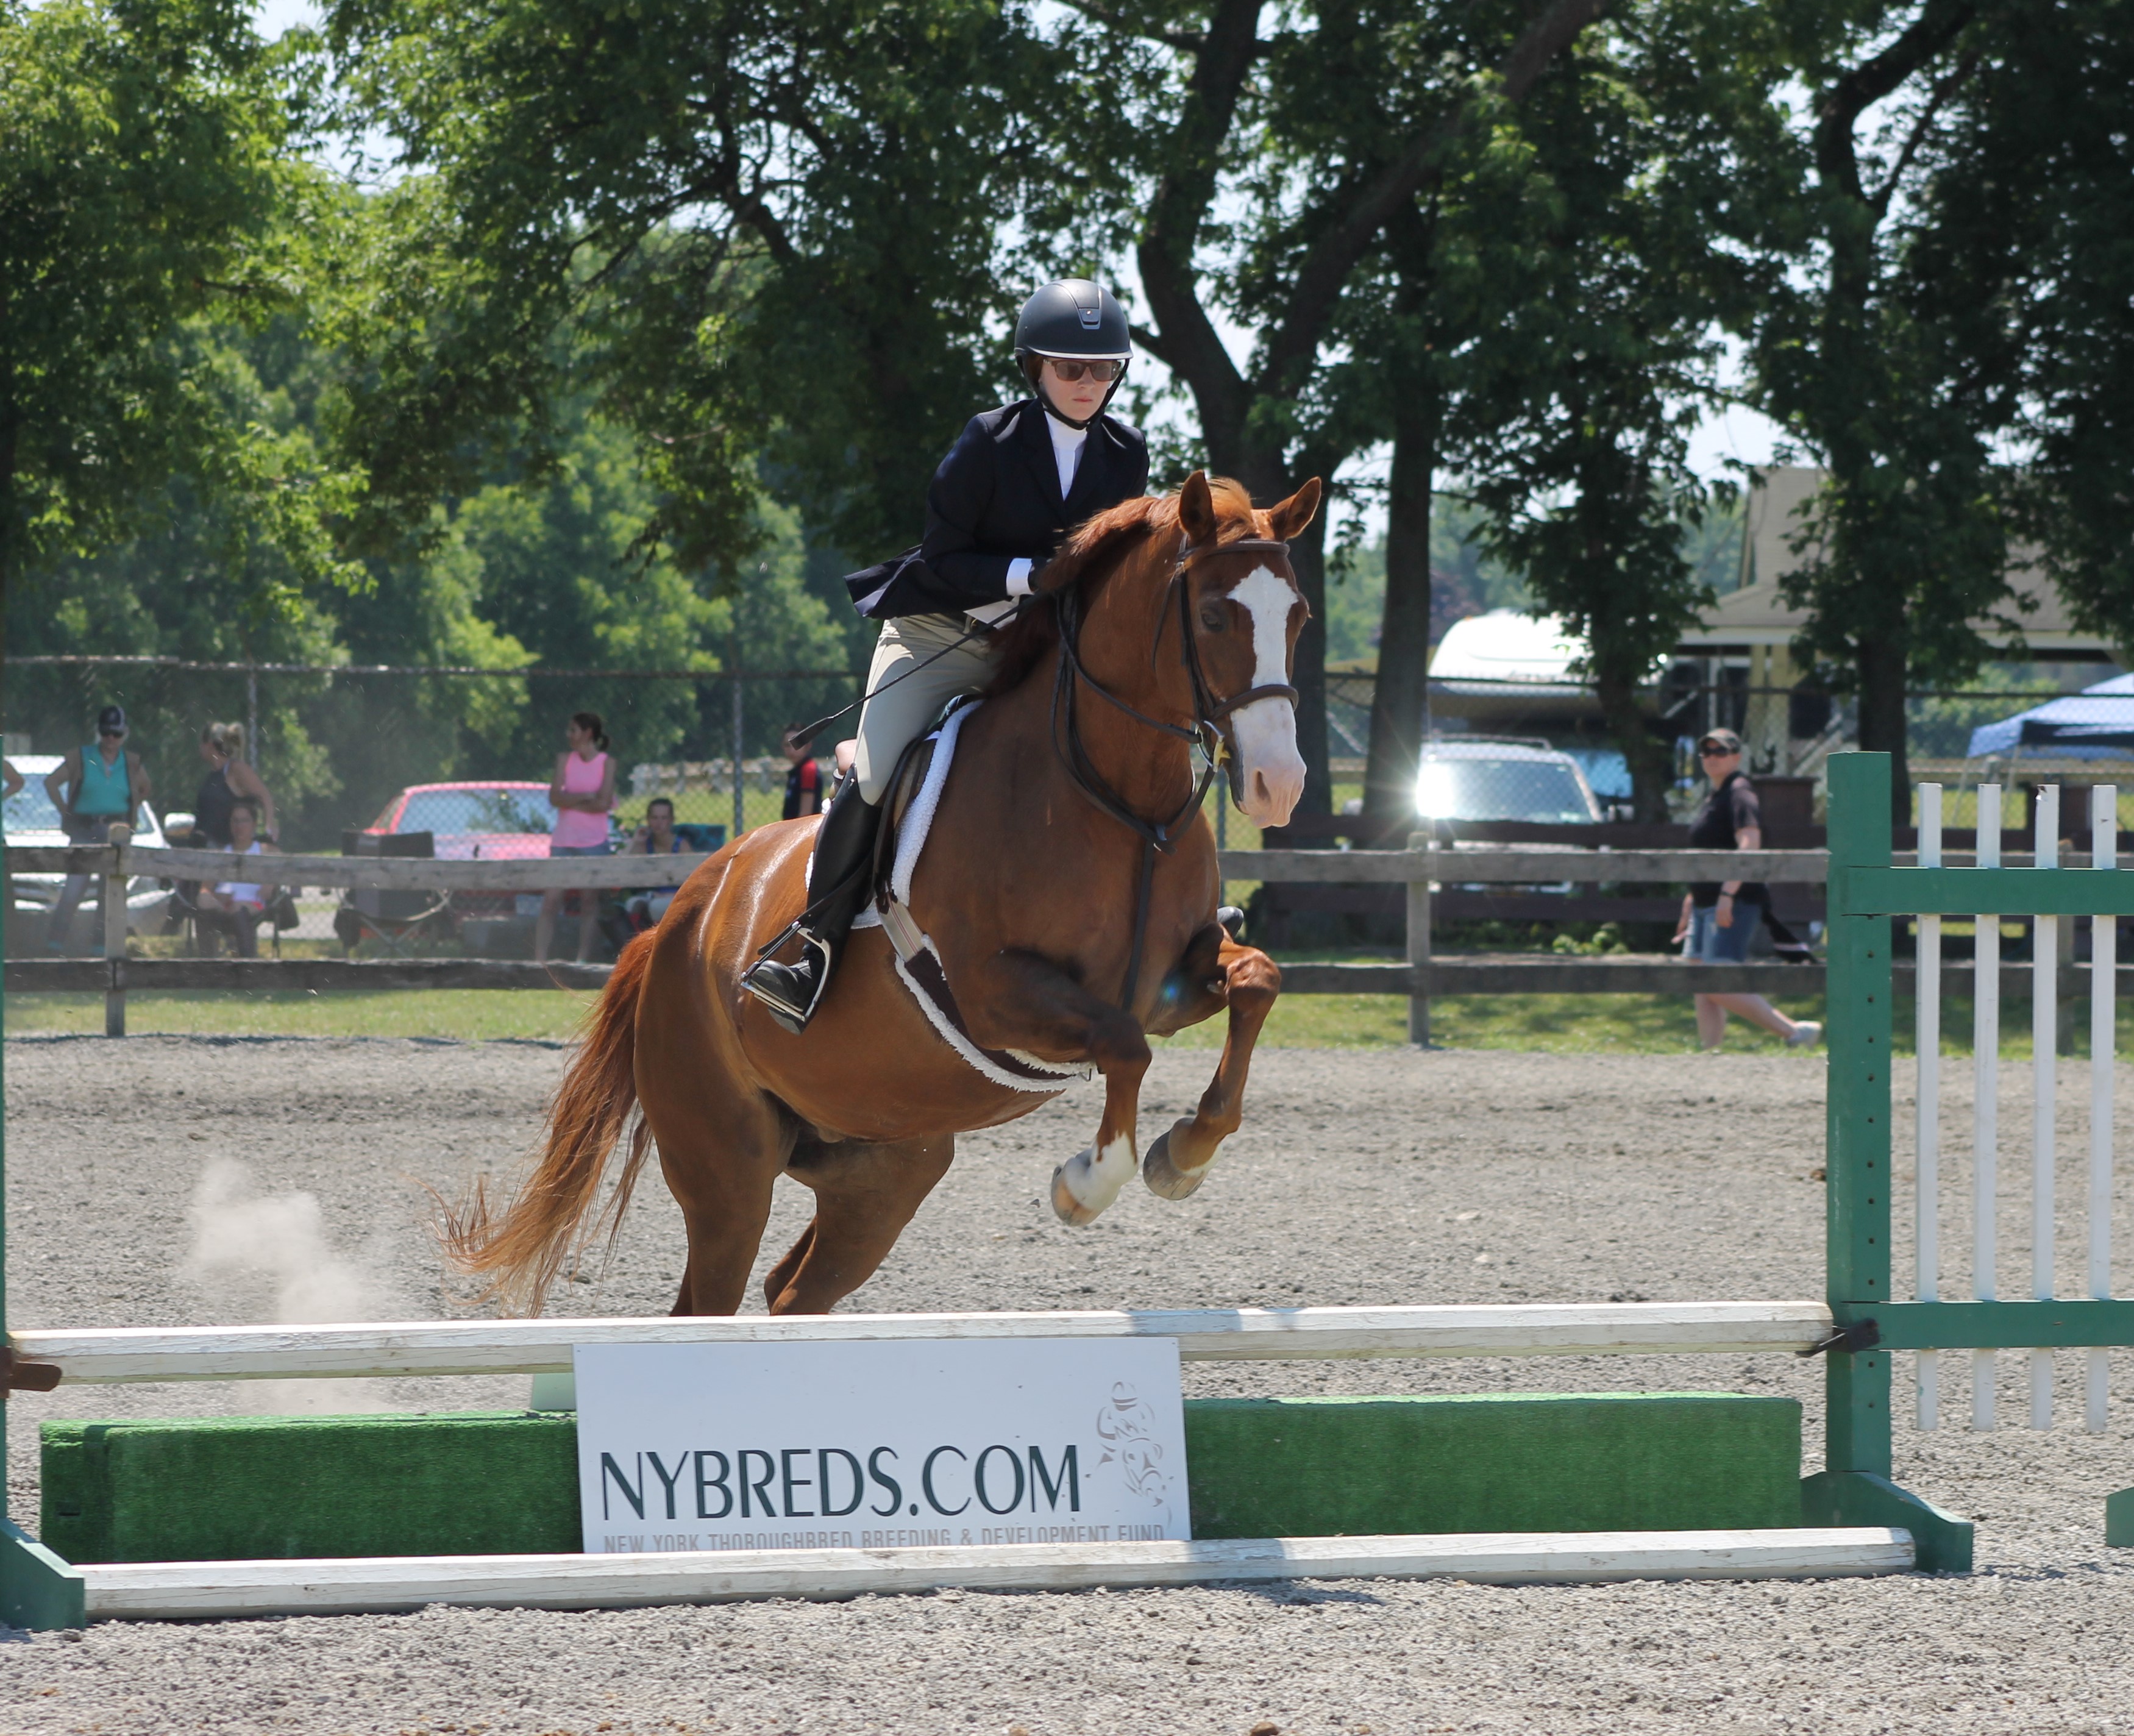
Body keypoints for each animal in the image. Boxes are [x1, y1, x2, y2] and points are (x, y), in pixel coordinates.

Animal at [447, 470, 1321, 1317]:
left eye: (1300, 617)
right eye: (1213, 615)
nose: (1279, 786)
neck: (1120, 800)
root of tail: (668, 930)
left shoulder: (1171, 979)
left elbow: (1255, 981)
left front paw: (1185, 1153)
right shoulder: (996, 994)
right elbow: (1126, 1045)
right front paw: (1086, 1184)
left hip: (884, 1166)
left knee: (791, 1288)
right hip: (729, 1168)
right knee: (712, 1297)